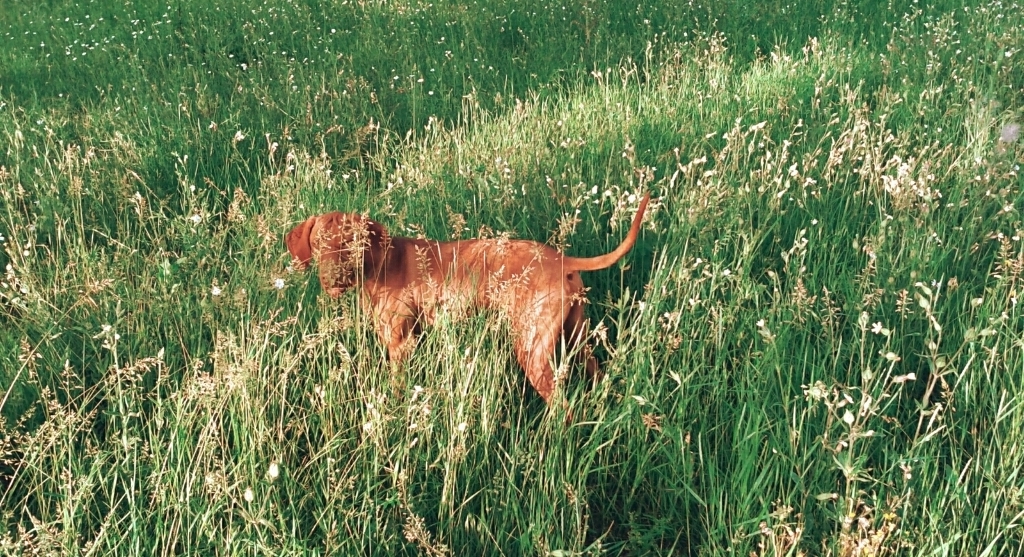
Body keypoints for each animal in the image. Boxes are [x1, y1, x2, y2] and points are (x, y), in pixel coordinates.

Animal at [284, 193, 647, 403]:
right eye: (319, 244)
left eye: (353, 243)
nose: (333, 279)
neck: (379, 262)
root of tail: (562, 260)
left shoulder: (401, 345)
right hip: (576, 336)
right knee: (596, 370)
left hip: (531, 347)